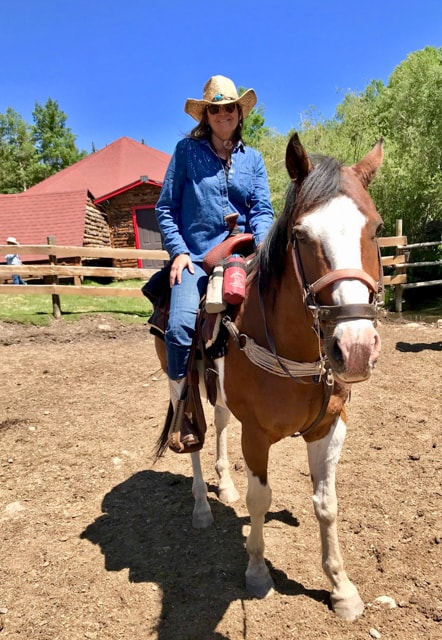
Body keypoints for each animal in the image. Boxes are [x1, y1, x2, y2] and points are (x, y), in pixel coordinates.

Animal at [155, 134, 384, 620]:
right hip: (177, 375)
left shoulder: (329, 427)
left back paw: (224, 485)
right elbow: (261, 499)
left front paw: (341, 588)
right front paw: (258, 572)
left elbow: (327, 504)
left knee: (220, 422)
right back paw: (202, 507)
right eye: (300, 235)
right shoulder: (257, 434)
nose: (355, 349)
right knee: (193, 436)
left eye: (374, 229)